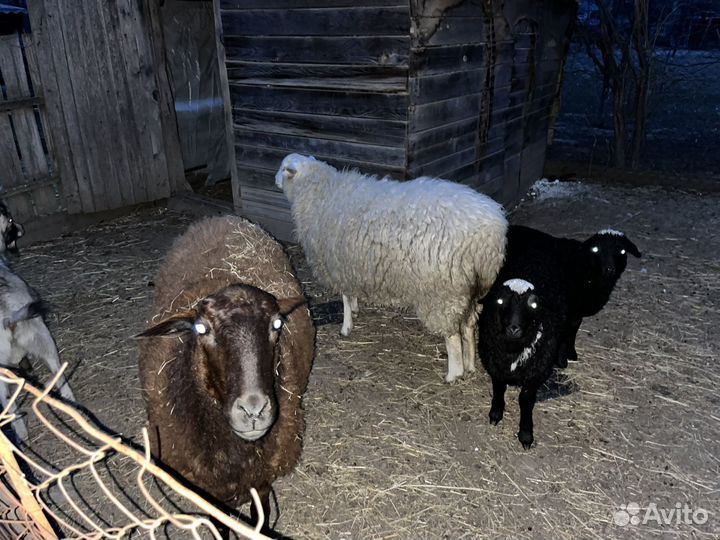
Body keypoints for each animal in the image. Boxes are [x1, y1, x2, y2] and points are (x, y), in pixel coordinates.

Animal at [136, 216, 314, 532]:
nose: (254, 411)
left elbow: (260, 519)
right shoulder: (211, 489)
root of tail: (220, 218)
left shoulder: (261, 479)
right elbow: (221, 524)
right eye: (201, 329)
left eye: (277, 324)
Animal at [275, 153, 507, 383]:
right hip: (471, 286)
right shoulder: (350, 265)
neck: (319, 191)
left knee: (453, 336)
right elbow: (351, 295)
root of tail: (491, 232)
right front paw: (356, 310)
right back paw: (470, 365)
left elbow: (344, 298)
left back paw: (454, 373)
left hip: (444, 291)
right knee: (469, 325)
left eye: (283, 168)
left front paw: (346, 326)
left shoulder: (338, 263)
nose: (274, 180)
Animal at [478, 278, 567, 449]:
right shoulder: (495, 364)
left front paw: (526, 435)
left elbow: (525, 400)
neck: (513, 349)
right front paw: (496, 413)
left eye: (534, 304)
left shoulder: (535, 374)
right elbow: (499, 388)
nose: (514, 329)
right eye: (500, 301)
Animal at [507, 225, 641, 364]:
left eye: (622, 250)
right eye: (596, 249)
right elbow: (565, 331)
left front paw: (571, 353)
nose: (609, 269)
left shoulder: (577, 311)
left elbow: (573, 329)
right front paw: (560, 360)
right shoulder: (566, 308)